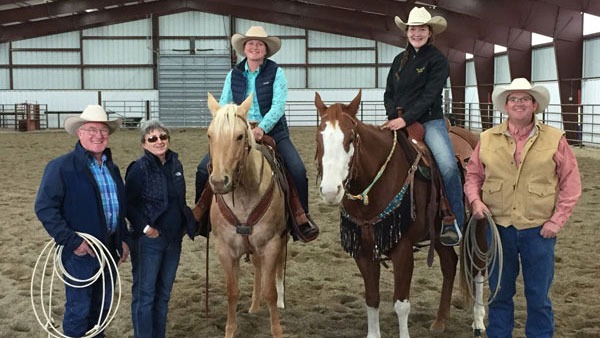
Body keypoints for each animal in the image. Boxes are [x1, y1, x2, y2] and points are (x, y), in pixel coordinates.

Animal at [207, 93, 290, 338]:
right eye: (210, 135)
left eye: (240, 136)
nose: (219, 182)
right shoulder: (224, 249)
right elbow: (232, 291)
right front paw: (230, 330)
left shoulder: (271, 244)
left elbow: (270, 291)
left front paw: (277, 330)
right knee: (257, 266)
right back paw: (254, 306)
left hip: (282, 239)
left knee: (276, 269)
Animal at [314, 90, 482, 338]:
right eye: (319, 138)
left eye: (351, 139)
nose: (330, 191)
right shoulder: (364, 251)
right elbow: (372, 299)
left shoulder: (403, 249)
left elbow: (401, 304)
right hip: (439, 235)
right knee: (450, 265)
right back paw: (440, 321)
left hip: (480, 225)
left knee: (478, 269)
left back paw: (479, 322)